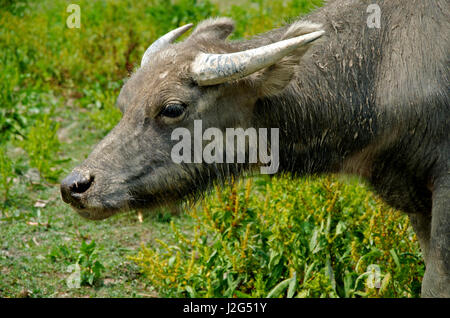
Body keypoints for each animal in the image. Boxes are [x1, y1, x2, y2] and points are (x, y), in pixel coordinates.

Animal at [60, 0, 450, 298]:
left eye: (171, 108)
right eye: (123, 101)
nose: (75, 186)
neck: (379, 69)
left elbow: (434, 282)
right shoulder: (414, 199)